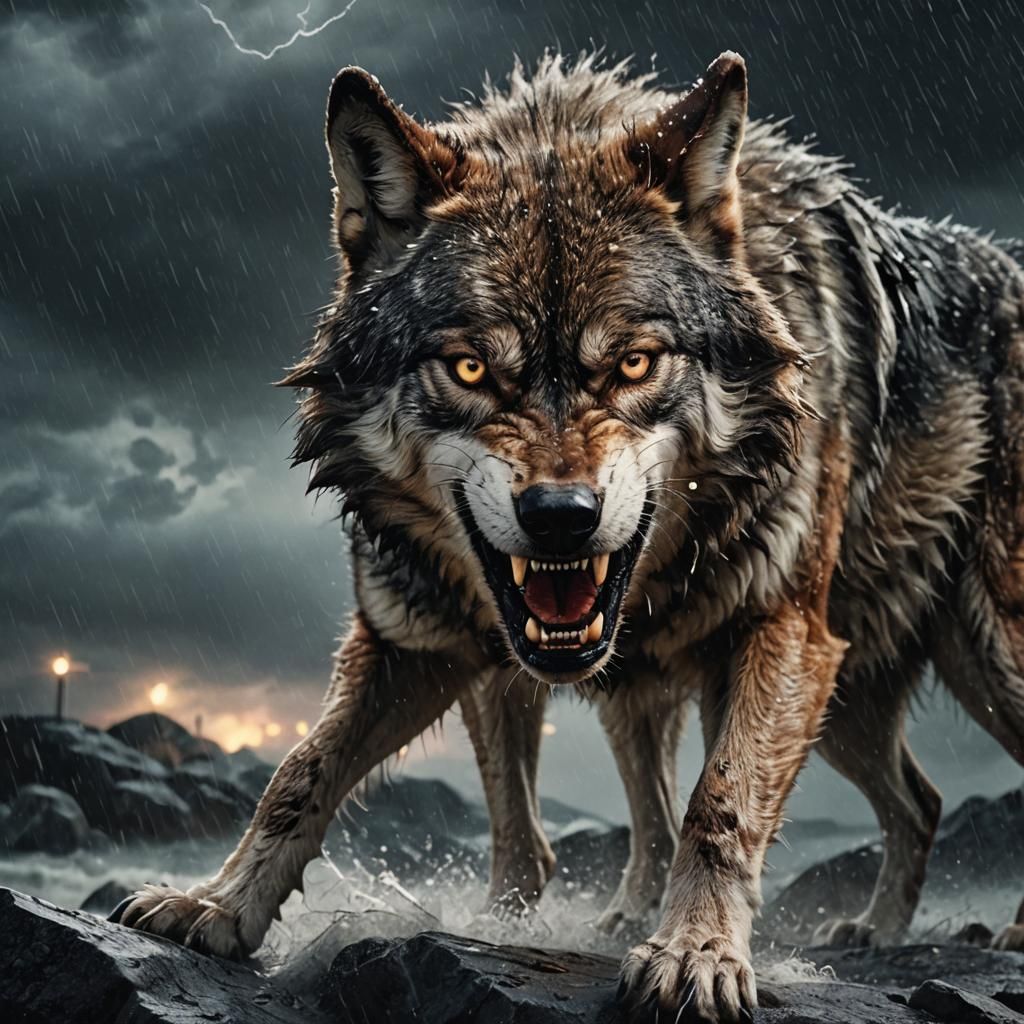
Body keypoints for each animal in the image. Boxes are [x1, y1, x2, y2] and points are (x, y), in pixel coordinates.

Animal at [115, 51, 1024, 1022]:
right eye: (470, 367)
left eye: (633, 363)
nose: (561, 514)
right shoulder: (416, 643)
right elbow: (301, 775)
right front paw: (216, 905)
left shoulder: (782, 631)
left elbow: (719, 804)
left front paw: (694, 954)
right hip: (824, 698)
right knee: (917, 802)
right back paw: (860, 932)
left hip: (965, 658)